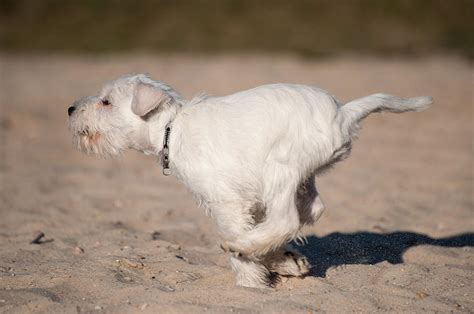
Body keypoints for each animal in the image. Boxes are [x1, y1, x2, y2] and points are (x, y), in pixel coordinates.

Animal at [67, 73, 434, 288]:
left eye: (106, 102)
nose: (70, 109)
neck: (172, 127)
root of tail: (343, 112)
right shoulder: (248, 203)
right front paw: (283, 262)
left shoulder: (227, 202)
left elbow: (240, 232)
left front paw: (250, 278)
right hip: (300, 177)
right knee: (311, 209)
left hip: (280, 168)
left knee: (287, 219)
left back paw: (242, 247)